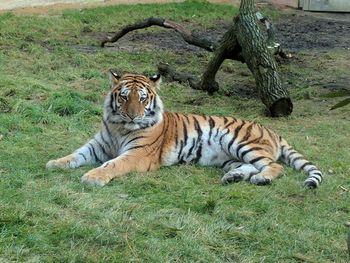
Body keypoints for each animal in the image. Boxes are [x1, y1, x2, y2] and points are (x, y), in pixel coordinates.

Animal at [45, 71, 322, 189]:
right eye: (123, 97)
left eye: (142, 99)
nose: (133, 115)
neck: (119, 127)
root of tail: (273, 131)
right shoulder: (98, 145)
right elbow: (76, 154)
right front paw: (55, 163)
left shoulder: (138, 154)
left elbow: (113, 164)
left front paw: (93, 177)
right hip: (229, 158)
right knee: (250, 166)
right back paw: (233, 178)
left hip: (240, 142)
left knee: (273, 166)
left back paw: (262, 179)